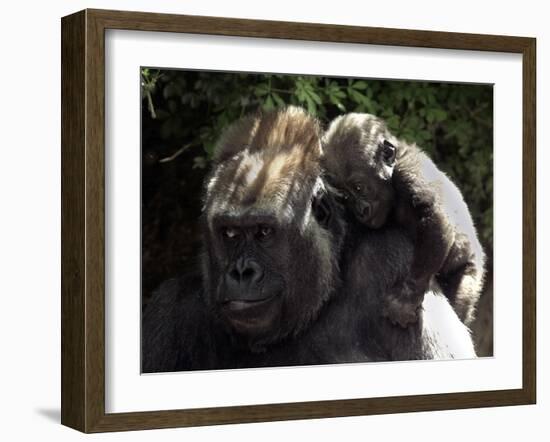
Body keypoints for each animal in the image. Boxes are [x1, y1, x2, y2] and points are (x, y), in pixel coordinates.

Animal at [324, 114, 488, 328]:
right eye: (344, 195)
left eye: (359, 187)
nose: (360, 211)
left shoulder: (409, 172)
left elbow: (434, 217)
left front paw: (406, 298)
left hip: (471, 270)